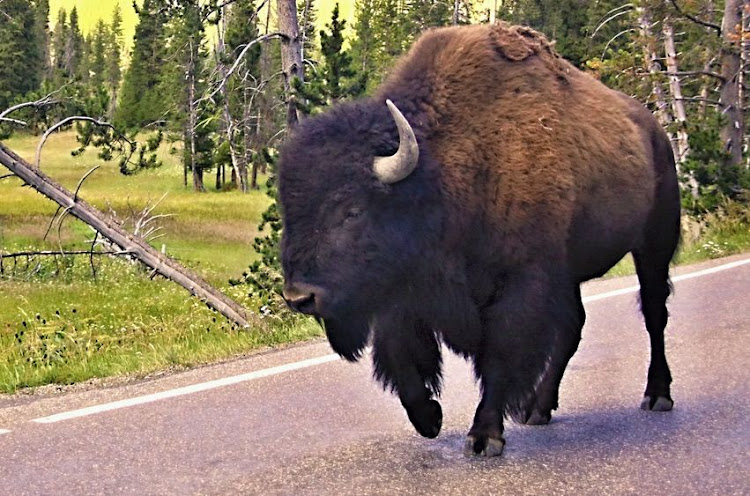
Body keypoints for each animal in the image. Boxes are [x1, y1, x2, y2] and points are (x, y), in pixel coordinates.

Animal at [276, 23, 680, 458]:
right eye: (288, 210)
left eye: (352, 210)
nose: (300, 297)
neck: (445, 173)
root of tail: (655, 132)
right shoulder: (403, 295)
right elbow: (402, 359)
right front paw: (430, 419)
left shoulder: (518, 285)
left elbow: (499, 356)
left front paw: (484, 436)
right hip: (568, 273)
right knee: (573, 329)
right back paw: (537, 409)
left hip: (654, 245)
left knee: (654, 314)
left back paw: (658, 395)